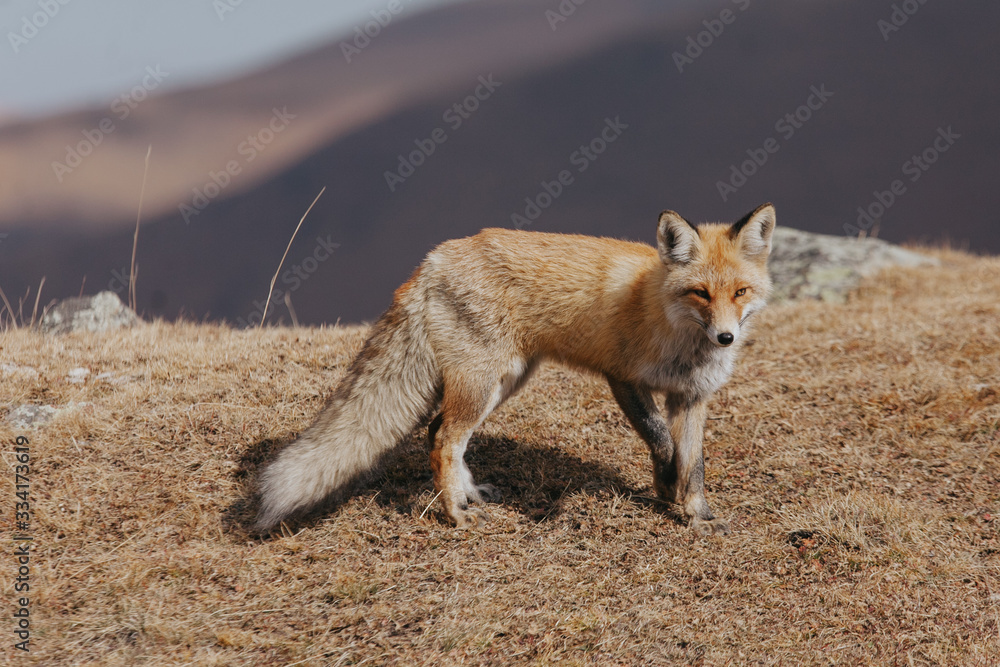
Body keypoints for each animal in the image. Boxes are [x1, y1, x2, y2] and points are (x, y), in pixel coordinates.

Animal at [255, 202, 775, 536]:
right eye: (701, 293)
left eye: (740, 292)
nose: (725, 338)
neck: (675, 330)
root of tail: (434, 258)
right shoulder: (622, 378)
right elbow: (662, 442)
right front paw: (667, 488)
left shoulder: (692, 397)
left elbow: (695, 463)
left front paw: (696, 513)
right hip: (481, 383)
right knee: (444, 440)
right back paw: (455, 516)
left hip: (504, 383)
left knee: (438, 432)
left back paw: (468, 496)